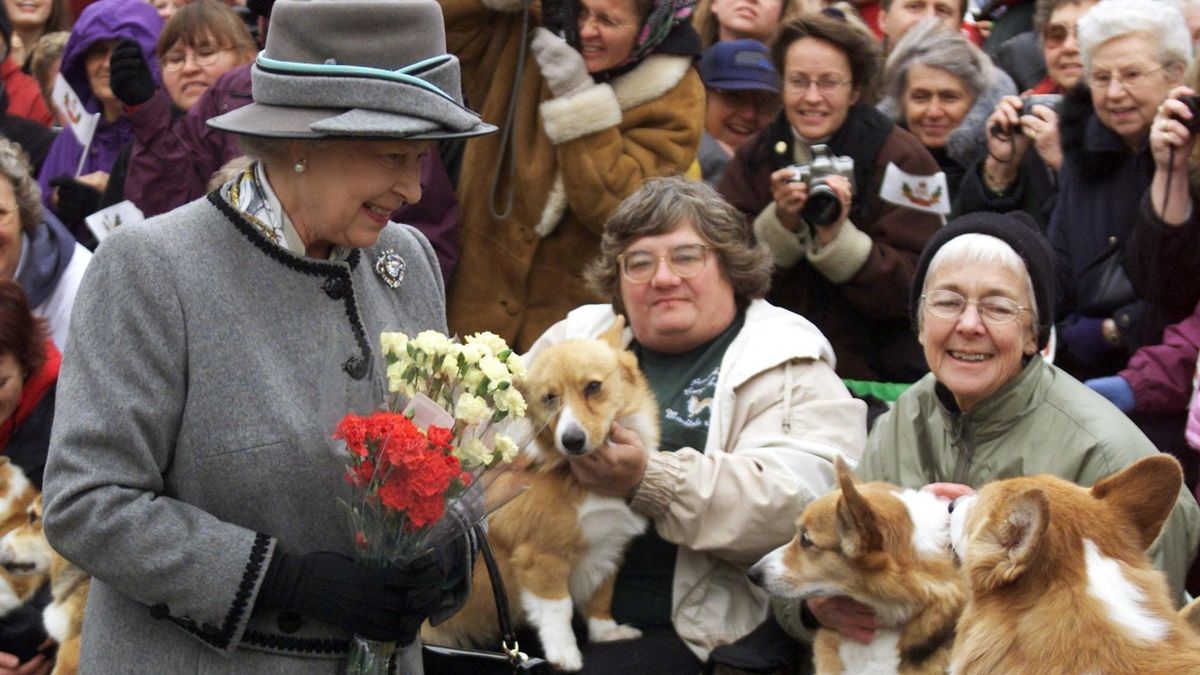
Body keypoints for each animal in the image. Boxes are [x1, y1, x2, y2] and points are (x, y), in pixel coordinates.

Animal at [424, 314, 662, 667]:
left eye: (593, 387)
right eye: (549, 398)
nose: (572, 440)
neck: (574, 475)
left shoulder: (608, 550)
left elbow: (600, 598)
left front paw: (607, 633)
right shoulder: (541, 558)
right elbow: (558, 611)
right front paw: (565, 656)